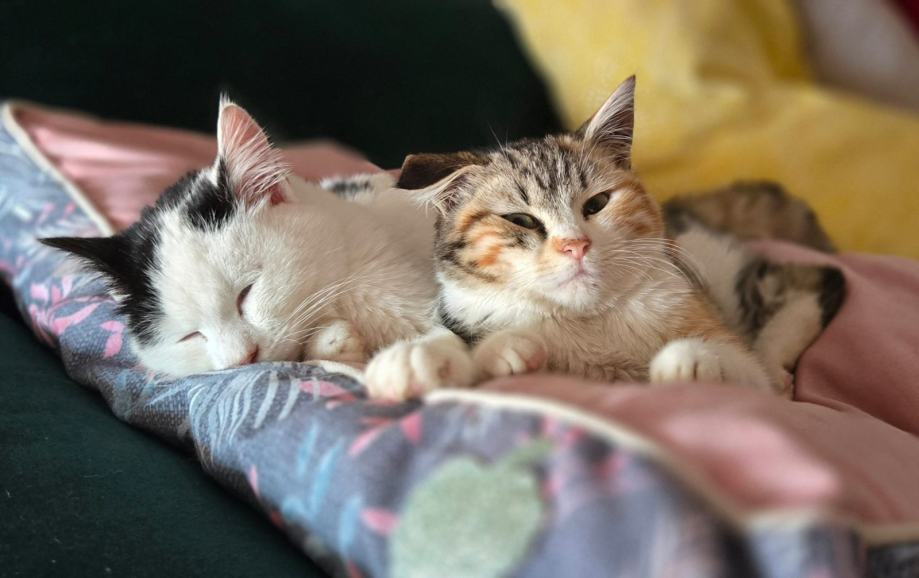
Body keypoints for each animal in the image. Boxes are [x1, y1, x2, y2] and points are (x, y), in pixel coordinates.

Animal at [365, 76, 845, 400]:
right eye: (522, 220)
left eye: (596, 204)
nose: (575, 245)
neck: (588, 323)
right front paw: (417, 360)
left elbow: (743, 370)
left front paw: (689, 361)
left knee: (812, 279)